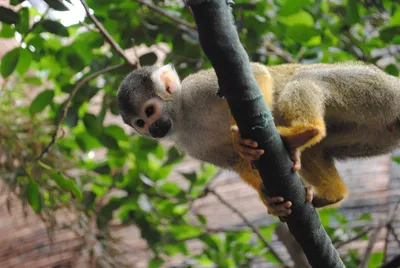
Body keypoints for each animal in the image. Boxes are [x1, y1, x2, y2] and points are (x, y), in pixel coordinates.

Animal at [117, 62, 400, 218]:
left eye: (150, 111)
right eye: (140, 123)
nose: (154, 130)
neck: (185, 115)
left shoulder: (197, 86)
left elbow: (256, 75)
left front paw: (245, 137)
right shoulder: (189, 144)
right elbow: (236, 162)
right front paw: (269, 197)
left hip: (369, 88)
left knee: (306, 78)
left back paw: (305, 130)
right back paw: (332, 194)